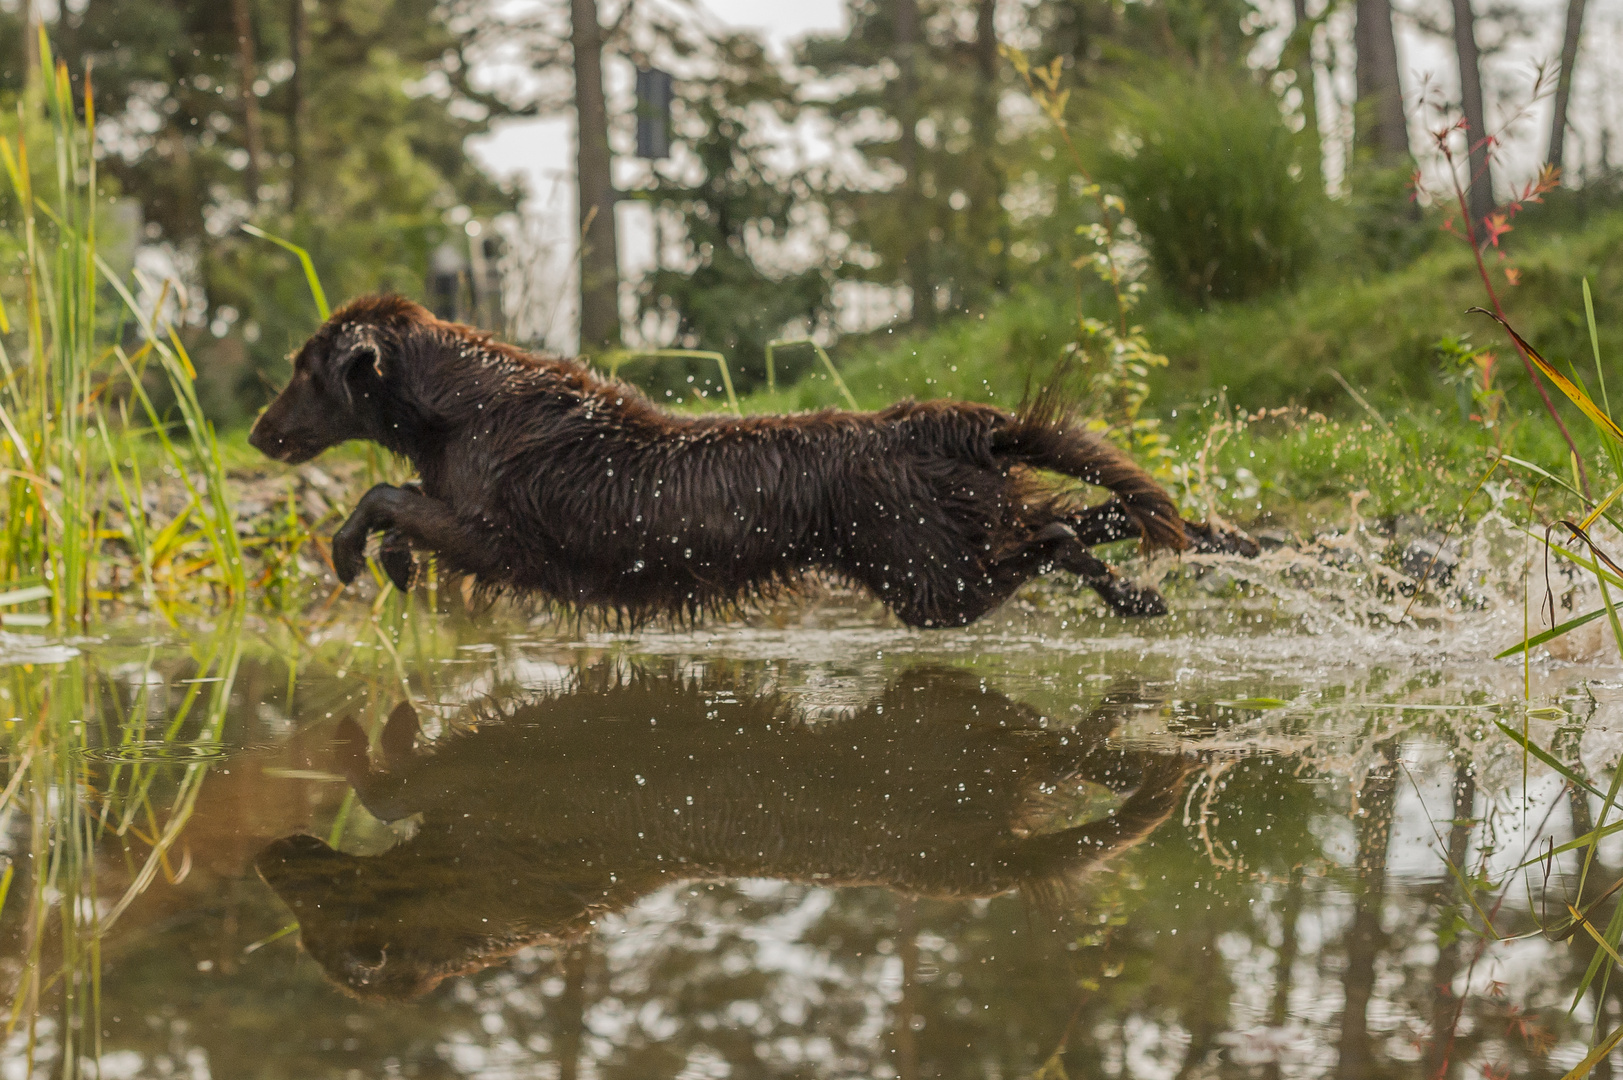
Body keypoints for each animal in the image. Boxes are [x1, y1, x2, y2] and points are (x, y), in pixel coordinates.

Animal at [246, 295, 1246, 623]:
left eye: (302, 369)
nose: (256, 434)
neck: (464, 407)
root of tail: (931, 425)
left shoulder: (500, 536)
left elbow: (384, 493)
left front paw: (354, 555)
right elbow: (400, 502)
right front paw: (393, 565)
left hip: (929, 580)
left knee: (1056, 537)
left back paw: (1154, 579)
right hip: (947, 546)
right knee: (1090, 518)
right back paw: (1189, 562)